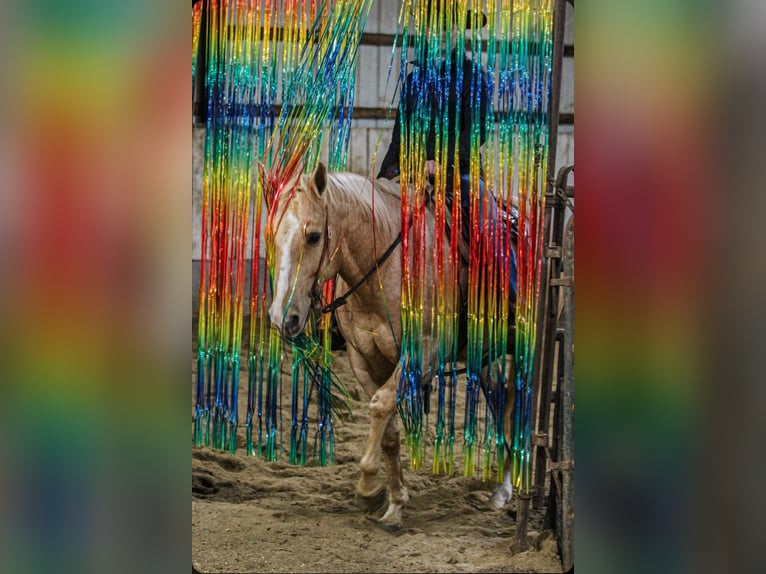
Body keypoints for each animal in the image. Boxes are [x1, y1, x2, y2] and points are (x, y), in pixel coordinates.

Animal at [265, 162, 515, 530]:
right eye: (272, 235)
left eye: (313, 236)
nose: (283, 318)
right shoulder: (364, 360)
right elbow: (389, 432)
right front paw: (394, 503)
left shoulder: (423, 355)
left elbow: (382, 405)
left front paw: (369, 487)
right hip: (485, 357)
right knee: (501, 399)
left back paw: (505, 489)